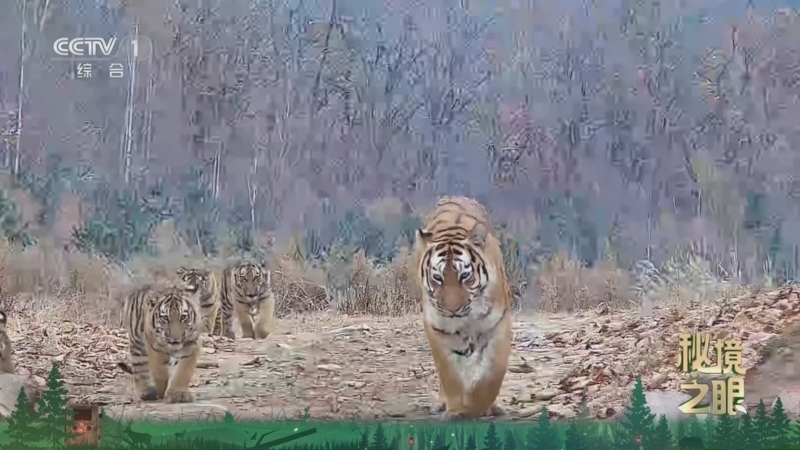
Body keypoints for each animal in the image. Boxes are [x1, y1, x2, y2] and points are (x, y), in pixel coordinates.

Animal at [413, 195, 513, 419]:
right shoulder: (437, 328)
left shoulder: (498, 324)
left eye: (465, 276)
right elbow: (449, 374)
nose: (452, 310)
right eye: (438, 278)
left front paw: (478, 406)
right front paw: (457, 409)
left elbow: (493, 373)